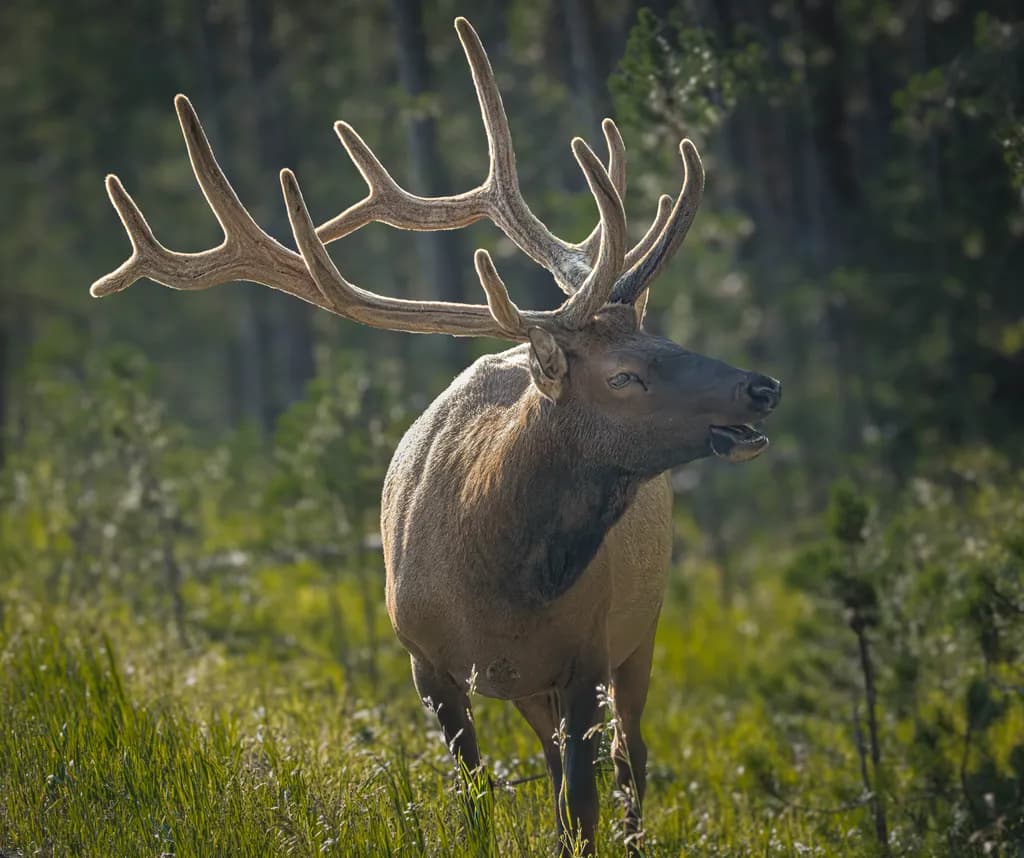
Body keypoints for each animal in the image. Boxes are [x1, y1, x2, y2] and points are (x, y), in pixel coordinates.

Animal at [90, 17, 780, 856]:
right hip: (549, 678)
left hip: (639, 630)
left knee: (631, 760)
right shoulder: (428, 661)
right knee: (574, 761)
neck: (497, 586)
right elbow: (477, 797)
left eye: (667, 337)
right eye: (627, 374)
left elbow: (580, 807)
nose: (762, 387)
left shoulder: (586, 651)